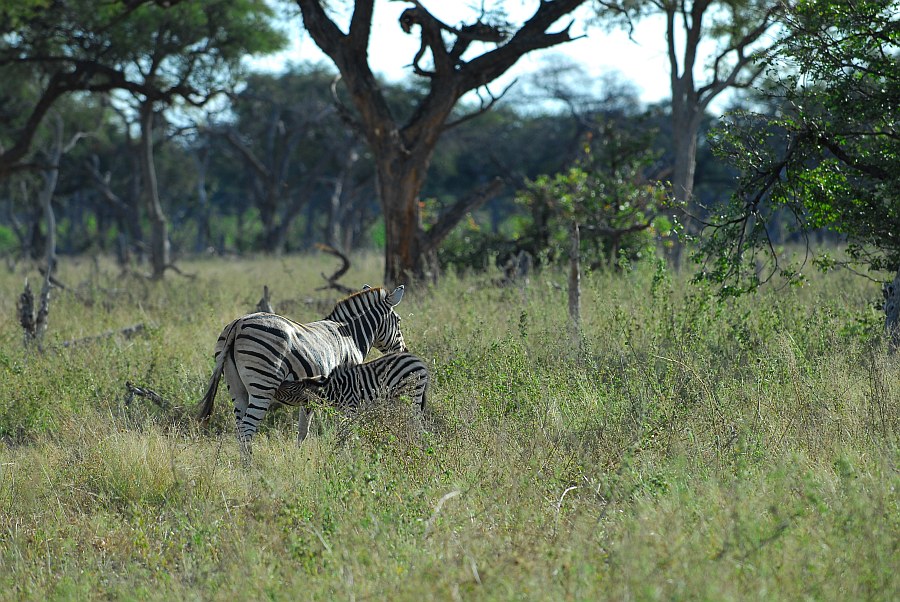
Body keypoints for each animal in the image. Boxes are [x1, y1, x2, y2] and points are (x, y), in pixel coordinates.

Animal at [196, 285, 406, 457]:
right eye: (398, 320)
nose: (403, 351)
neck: (350, 336)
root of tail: (238, 323)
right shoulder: (348, 391)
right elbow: (344, 428)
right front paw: (345, 455)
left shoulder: (310, 398)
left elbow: (303, 431)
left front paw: (299, 457)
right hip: (263, 385)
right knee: (248, 428)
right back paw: (251, 469)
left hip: (236, 387)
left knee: (240, 428)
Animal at [273, 351, 429, 416]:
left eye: (292, 388)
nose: (278, 383)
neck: (334, 390)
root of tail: (419, 361)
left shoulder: (351, 408)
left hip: (412, 394)